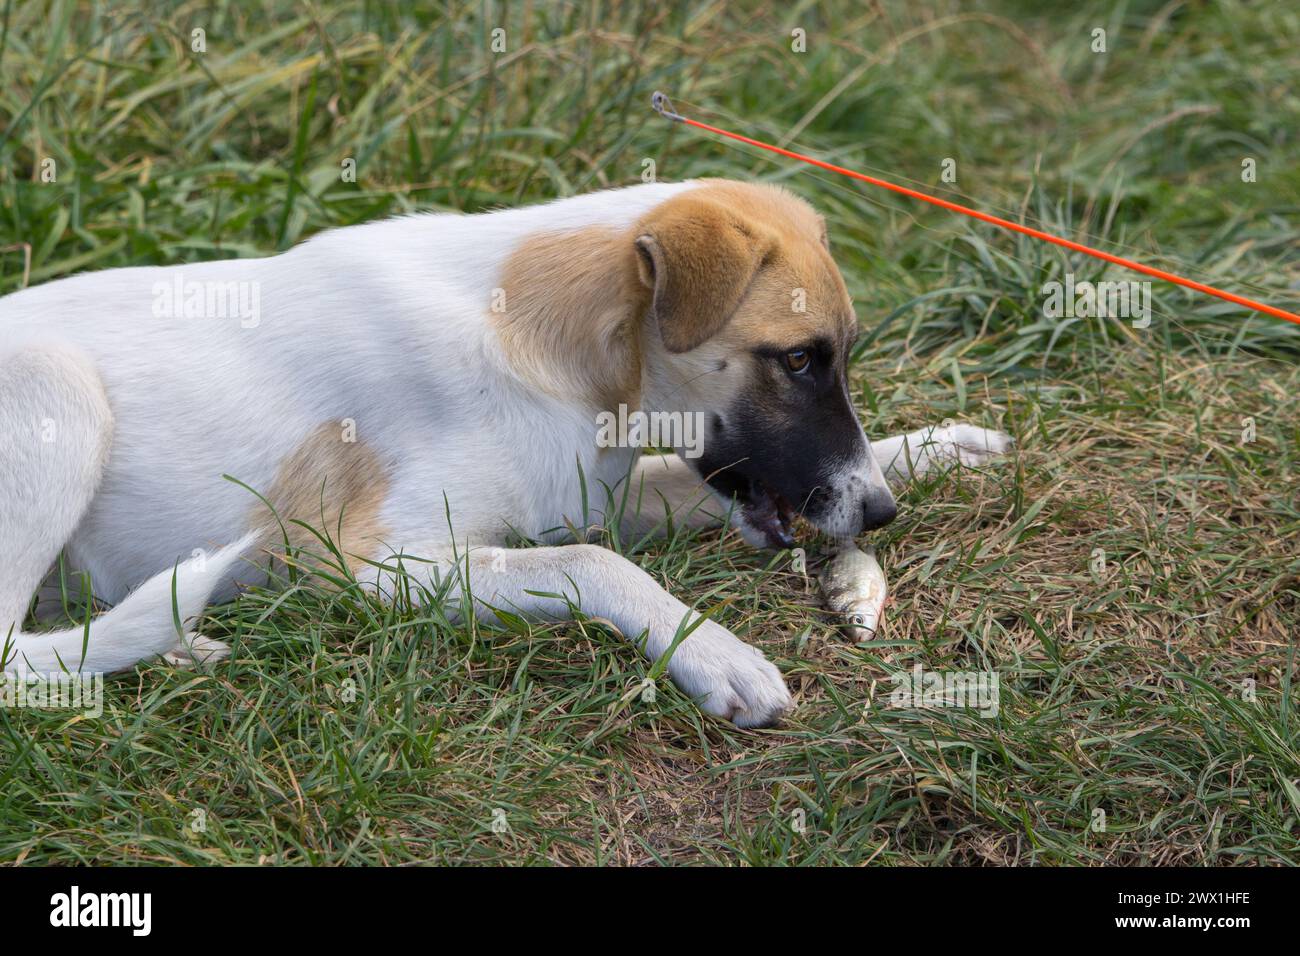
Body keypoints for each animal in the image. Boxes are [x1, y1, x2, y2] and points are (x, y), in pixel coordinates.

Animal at [0, 179, 1008, 728]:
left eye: (837, 358)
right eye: (797, 360)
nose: (877, 515)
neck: (557, 348)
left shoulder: (589, 491)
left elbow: (612, 529)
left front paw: (942, 447)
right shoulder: (374, 563)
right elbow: (593, 564)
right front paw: (716, 653)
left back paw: (178, 642)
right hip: (60, 388)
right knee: (13, 659)